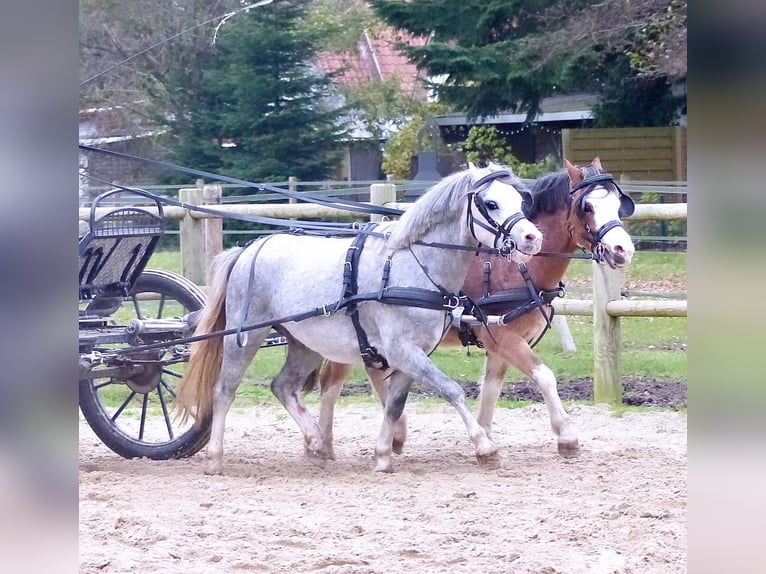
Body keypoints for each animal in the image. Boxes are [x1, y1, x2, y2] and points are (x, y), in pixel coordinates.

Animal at [316, 160, 636, 470]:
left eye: (618, 203)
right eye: (587, 206)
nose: (624, 249)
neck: (511, 268)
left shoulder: (501, 345)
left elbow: (492, 389)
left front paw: (485, 437)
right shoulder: (503, 337)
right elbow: (544, 377)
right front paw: (566, 436)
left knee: (367, 375)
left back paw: (380, 438)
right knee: (331, 381)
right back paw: (323, 445)